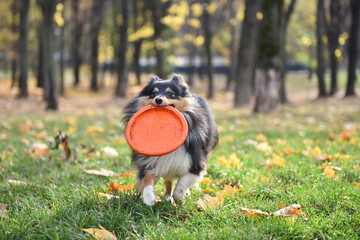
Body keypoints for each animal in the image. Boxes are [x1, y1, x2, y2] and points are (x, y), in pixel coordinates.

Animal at [122, 73, 218, 206]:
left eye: (171, 93)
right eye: (153, 93)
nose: (158, 99)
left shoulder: (194, 163)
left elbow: (181, 186)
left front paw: (180, 198)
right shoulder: (150, 161)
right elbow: (146, 178)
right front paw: (149, 197)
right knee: (168, 180)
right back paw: (167, 197)